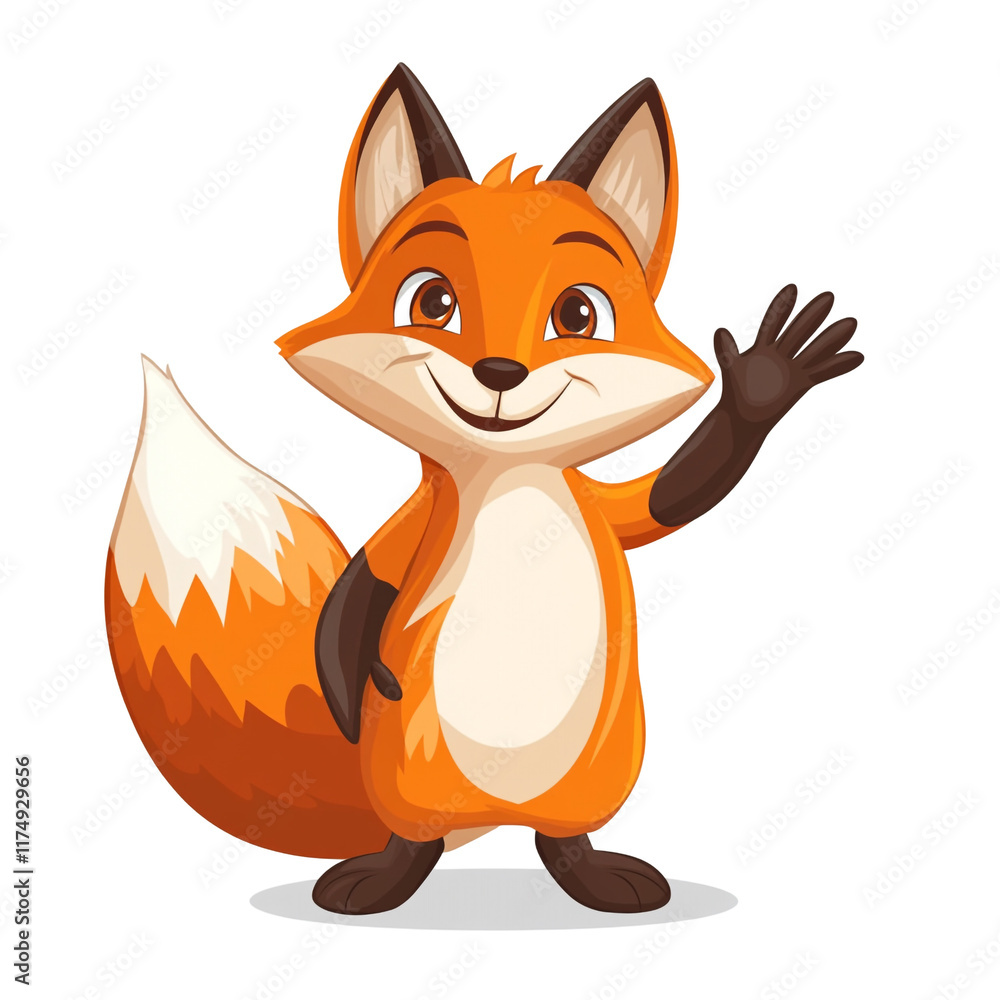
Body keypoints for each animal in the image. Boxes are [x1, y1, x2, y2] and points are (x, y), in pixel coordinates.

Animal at [106, 64, 863, 915]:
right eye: (432, 302)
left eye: (578, 313)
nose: (501, 372)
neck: (507, 480)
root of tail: (495, 813)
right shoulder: (413, 527)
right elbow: (355, 599)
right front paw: (352, 693)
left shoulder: (603, 502)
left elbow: (674, 496)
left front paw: (764, 385)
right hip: (408, 779)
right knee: (417, 840)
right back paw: (382, 878)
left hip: (596, 775)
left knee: (562, 839)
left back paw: (595, 876)